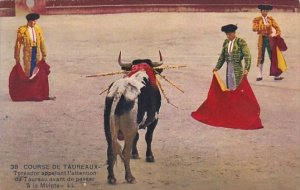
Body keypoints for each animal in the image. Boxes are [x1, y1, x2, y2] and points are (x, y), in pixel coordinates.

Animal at [104, 51, 163, 184]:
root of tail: (120, 91)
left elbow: (137, 137)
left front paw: (135, 154)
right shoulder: (154, 118)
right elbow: (148, 137)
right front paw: (149, 156)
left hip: (108, 130)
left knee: (111, 149)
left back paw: (111, 178)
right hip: (128, 129)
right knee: (125, 152)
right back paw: (130, 177)